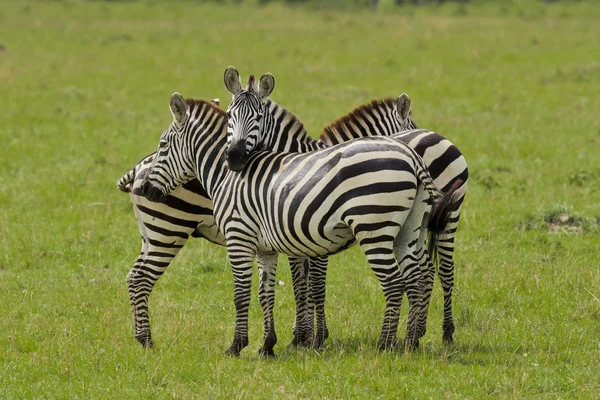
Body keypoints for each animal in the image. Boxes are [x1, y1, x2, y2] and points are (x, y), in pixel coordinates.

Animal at [138, 86, 462, 356]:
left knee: (399, 283)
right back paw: (409, 342)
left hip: (375, 229)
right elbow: (268, 293)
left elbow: (246, 293)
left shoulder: (241, 237)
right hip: (407, 230)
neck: (225, 173)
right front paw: (270, 345)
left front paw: (240, 345)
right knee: (418, 279)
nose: (145, 189)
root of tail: (411, 157)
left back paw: (387, 345)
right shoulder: (269, 246)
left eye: (163, 144)